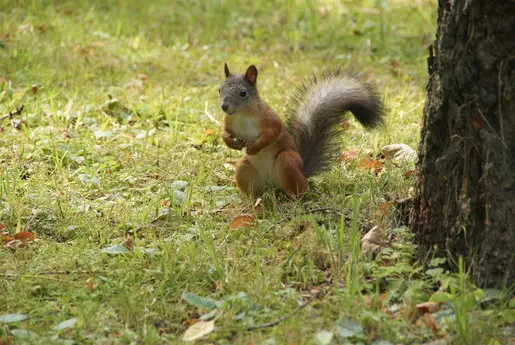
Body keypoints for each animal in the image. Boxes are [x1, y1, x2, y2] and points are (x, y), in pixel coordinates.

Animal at [220, 62, 384, 196]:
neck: (242, 114)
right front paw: (231, 142)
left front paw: (254, 148)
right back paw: (256, 200)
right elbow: (225, 133)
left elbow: (273, 133)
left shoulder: (269, 119)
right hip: (244, 169)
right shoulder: (229, 122)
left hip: (288, 161)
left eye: (243, 92)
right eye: (220, 89)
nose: (224, 107)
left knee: (301, 189)